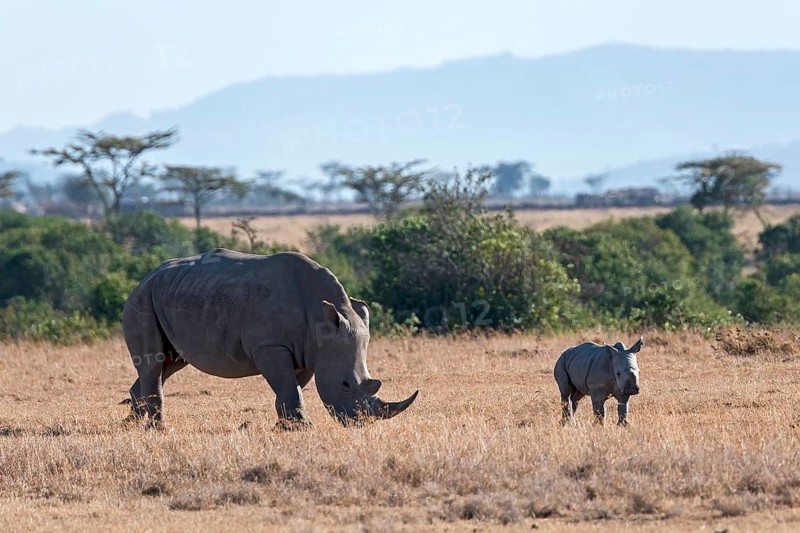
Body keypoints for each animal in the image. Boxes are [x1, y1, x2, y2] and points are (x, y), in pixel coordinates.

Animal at [122, 249, 419, 428]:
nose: (358, 423)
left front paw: (286, 426)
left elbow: (292, 387)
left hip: (172, 295)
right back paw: (159, 429)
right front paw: (303, 428)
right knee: (154, 362)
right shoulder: (270, 345)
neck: (321, 320)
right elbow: (287, 386)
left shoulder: (307, 351)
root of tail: (144, 278)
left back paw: (131, 426)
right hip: (142, 300)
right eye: (345, 385)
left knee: (168, 364)